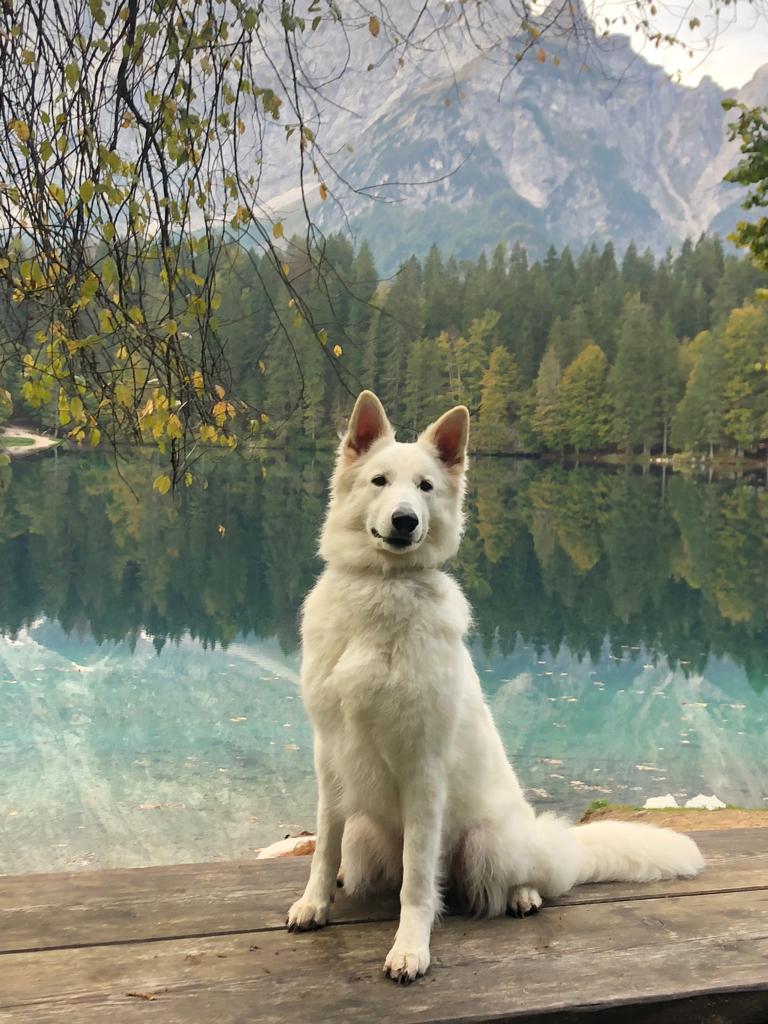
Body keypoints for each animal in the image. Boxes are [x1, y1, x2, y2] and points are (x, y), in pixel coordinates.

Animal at [286, 391, 704, 983]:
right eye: (379, 481)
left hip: (487, 842)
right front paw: (315, 904)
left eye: (425, 487)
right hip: (366, 831)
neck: (384, 590)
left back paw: (524, 895)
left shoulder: (424, 771)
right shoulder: (330, 755)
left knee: (521, 878)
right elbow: (324, 848)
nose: (404, 520)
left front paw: (410, 947)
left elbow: (418, 882)